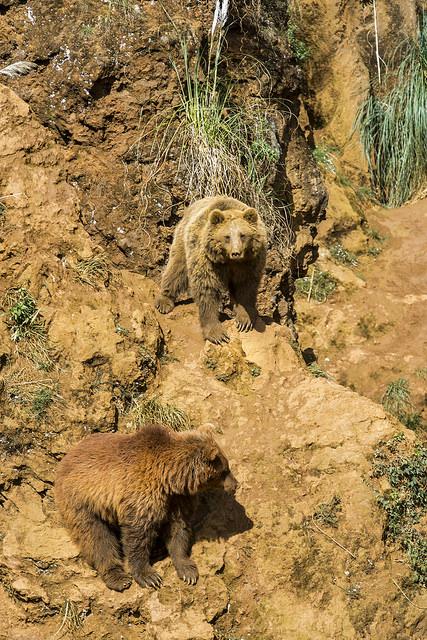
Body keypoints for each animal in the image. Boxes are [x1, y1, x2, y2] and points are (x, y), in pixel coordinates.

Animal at [54, 422, 237, 592]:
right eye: (225, 470)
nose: (235, 485)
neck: (169, 478)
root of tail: (66, 458)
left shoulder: (176, 500)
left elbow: (179, 529)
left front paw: (187, 571)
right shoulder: (142, 495)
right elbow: (138, 534)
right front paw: (149, 576)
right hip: (82, 500)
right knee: (96, 537)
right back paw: (118, 578)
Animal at [155, 195, 266, 344]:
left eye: (242, 235)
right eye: (227, 236)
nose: (236, 253)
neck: (229, 261)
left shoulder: (249, 263)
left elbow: (246, 288)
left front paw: (245, 320)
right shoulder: (209, 261)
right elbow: (207, 289)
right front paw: (217, 334)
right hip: (184, 240)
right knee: (177, 268)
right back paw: (164, 302)